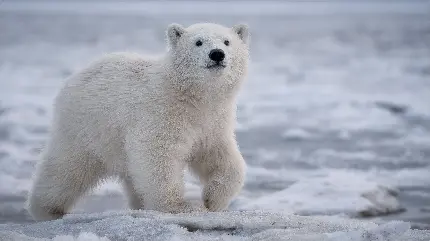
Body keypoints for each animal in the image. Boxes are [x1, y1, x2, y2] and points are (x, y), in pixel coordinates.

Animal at [26, 22, 249, 220]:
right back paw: (47, 209)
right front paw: (180, 207)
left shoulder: (212, 122)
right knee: (66, 168)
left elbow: (221, 157)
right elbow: (157, 157)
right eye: (198, 42)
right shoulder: (161, 113)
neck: (191, 96)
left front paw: (213, 199)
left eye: (227, 41)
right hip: (87, 126)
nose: (217, 54)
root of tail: (77, 76)